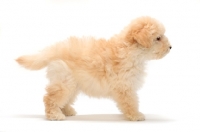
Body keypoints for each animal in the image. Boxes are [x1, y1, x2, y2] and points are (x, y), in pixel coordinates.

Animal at [16, 16, 172, 120]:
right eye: (158, 38)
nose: (171, 47)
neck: (131, 51)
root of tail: (55, 49)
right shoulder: (124, 86)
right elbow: (131, 102)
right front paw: (136, 115)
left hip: (72, 84)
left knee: (64, 99)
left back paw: (67, 111)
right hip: (65, 83)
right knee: (50, 98)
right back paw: (55, 115)